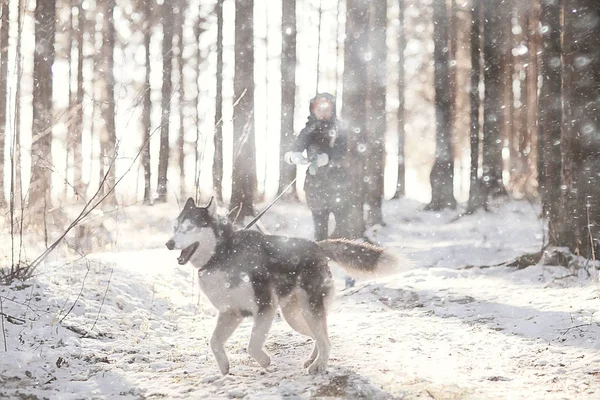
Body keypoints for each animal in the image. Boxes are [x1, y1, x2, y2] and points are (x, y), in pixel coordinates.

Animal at [166, 198, 406, 376]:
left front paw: (264, 361)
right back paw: (313, 358)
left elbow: (253, 345)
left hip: (308, 308)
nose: (169, 243)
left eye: (189, 228)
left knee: (326, 340)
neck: (222, 253)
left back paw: (319, 366)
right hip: (295, 316)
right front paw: (224, 367)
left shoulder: (265, 307)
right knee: (319, 337)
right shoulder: (231, 313)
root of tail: (318, 246)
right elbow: (214, 341)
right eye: (175, 227)